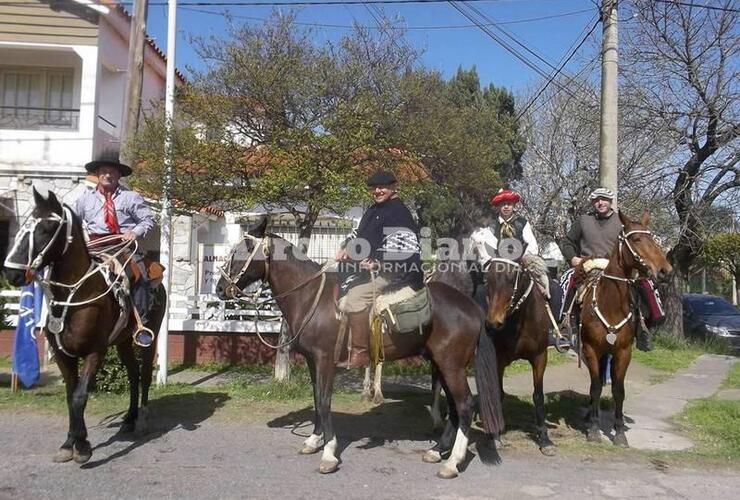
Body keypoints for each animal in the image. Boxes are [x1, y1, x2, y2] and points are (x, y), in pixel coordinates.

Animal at [1, 187, 165, 464]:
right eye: (24, 225)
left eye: (46, 228)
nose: (11, 273)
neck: (75, 293)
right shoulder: (63, 354)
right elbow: (70, 396)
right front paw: (69, 443)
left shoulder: (94, 351)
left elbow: (80, 396)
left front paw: (84, 447)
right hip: (122, 341)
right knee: (132, 373)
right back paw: (129, 418)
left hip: (146, 338)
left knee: (143, 375)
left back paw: (141, 420)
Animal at [214, 217, 502, 478]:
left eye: (241, 252)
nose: (219, 289)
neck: (312, 297)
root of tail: (472, 308)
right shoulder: (312, 361)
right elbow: (317, 400)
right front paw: (314, 440)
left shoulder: (325, 360)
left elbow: (324, 401)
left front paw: (329, 453)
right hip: (441, 363)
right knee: (454, 407)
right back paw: (436, 450)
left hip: (451, 365)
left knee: (465, 405)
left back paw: (452, 463)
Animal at [486, 256, 556, 456]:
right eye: (487, 280)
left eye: (512, 280)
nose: (493, 324)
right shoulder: (498, 359)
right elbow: (498, 393)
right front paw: (495, 436)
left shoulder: (540, 357)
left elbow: (538, 396)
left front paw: (545, 439)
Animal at [580, 211, 672, 446]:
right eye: (636, 239)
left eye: (653, 238)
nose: (665, 271)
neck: (610, 305)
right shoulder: (591, 349)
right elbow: (595, 386)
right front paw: (594, 429)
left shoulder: (623, 352)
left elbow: (618, 390)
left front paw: (620, 431)